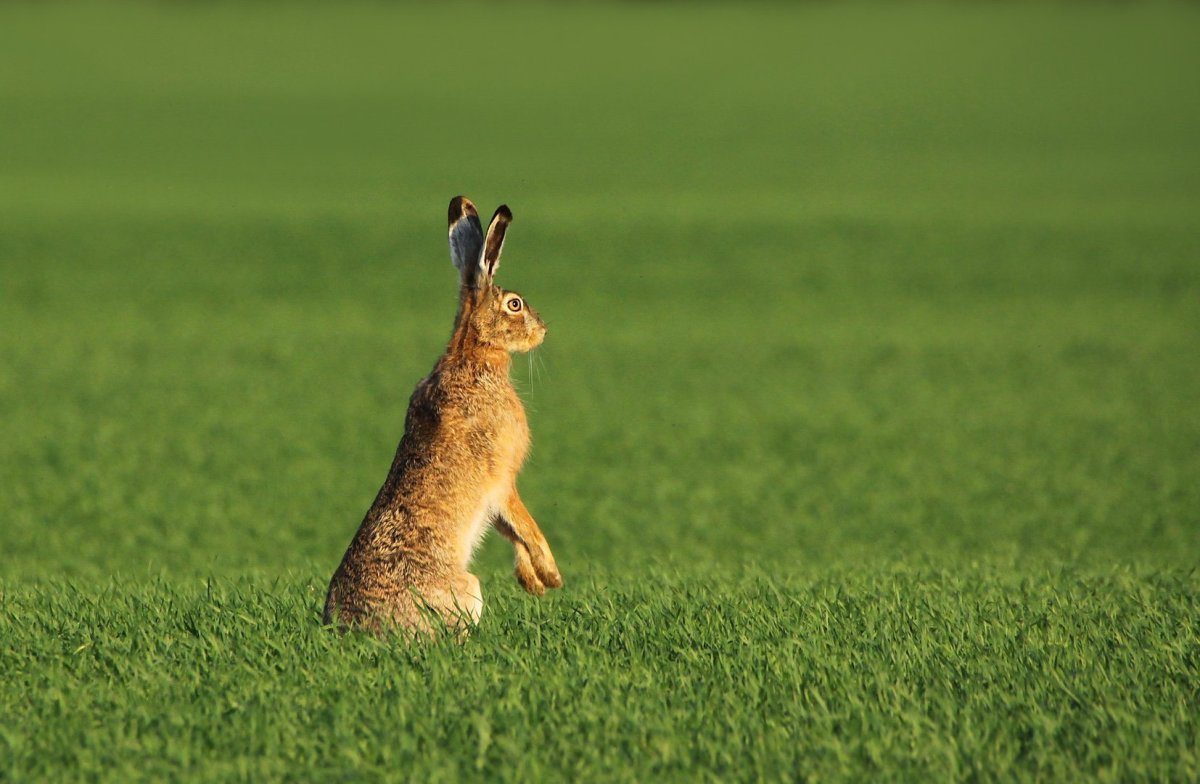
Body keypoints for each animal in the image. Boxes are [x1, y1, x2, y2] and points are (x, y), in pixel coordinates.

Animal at [323, 197, 563, 636]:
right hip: (468, 589)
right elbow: (523, 523)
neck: (472, 355)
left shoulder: (495, 496)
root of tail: (354, 629)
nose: (543, 331)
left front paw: (532, 583)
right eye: (514, 304)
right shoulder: (502, 479)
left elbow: (510, 530)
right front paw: (550, 576)